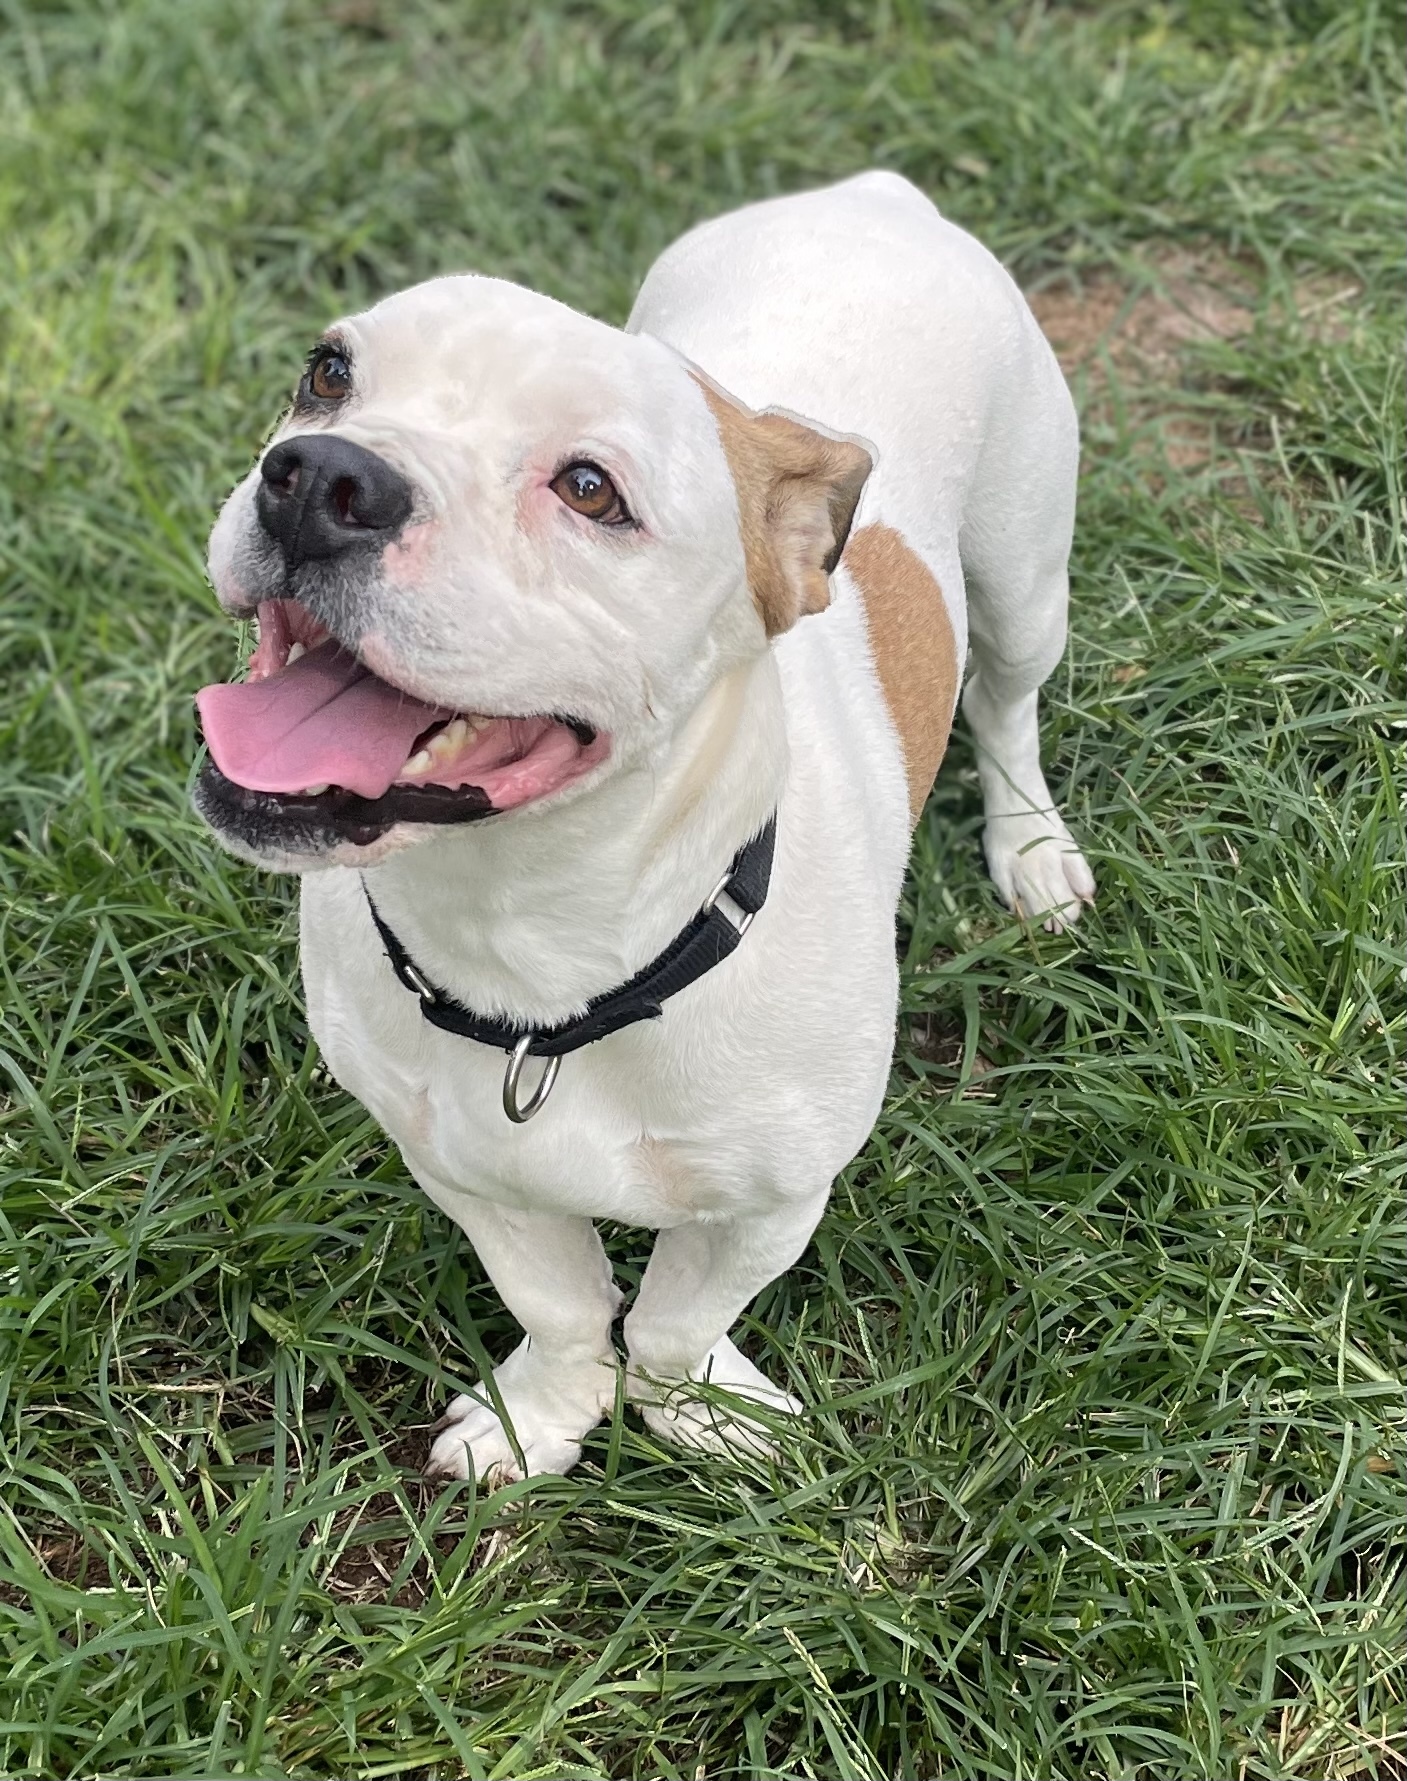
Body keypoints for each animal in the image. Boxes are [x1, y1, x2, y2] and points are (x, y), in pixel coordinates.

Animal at [193, 177, 1097, 1488]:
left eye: (590, 490)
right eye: (326, 372)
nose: (317, 475)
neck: (538, 957)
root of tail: (871, 195)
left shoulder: (770, 1203)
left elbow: (674, 1318)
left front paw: (700, 1412)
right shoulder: (466, 1169)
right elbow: (563, 1304)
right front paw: (544, 1413)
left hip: (1027, 578)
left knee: (1010, 707)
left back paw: (1029, 849)